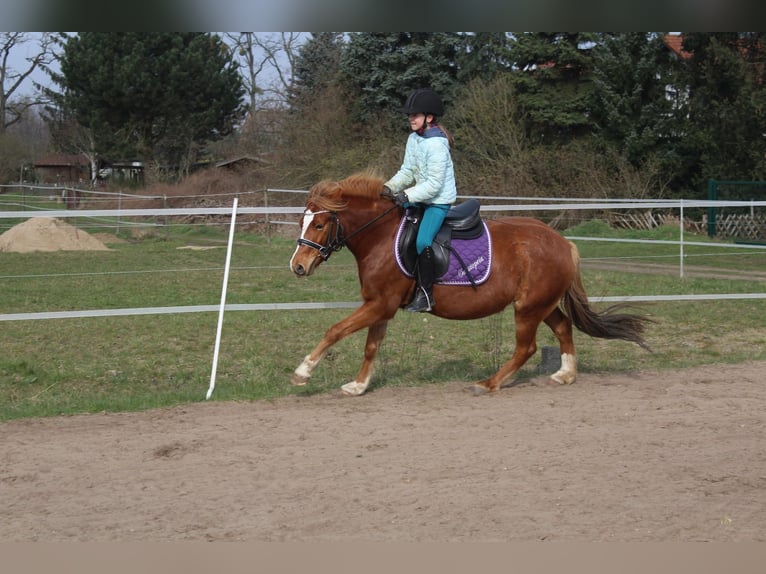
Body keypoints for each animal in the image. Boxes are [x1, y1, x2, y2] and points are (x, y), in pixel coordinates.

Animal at [292, 173, 652, 398]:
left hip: (528, 309)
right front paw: (358, 385)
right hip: (540, 303)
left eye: (320, 224)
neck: (381, 237)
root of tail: (564, 243)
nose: (298, 266)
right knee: (563, 328)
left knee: (526, 348)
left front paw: (303, 372)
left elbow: (335, 330)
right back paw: (565, 374)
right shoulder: (381, 306)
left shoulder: (381, 304)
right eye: (302, 222)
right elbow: (371, 346)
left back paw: (489, 384)